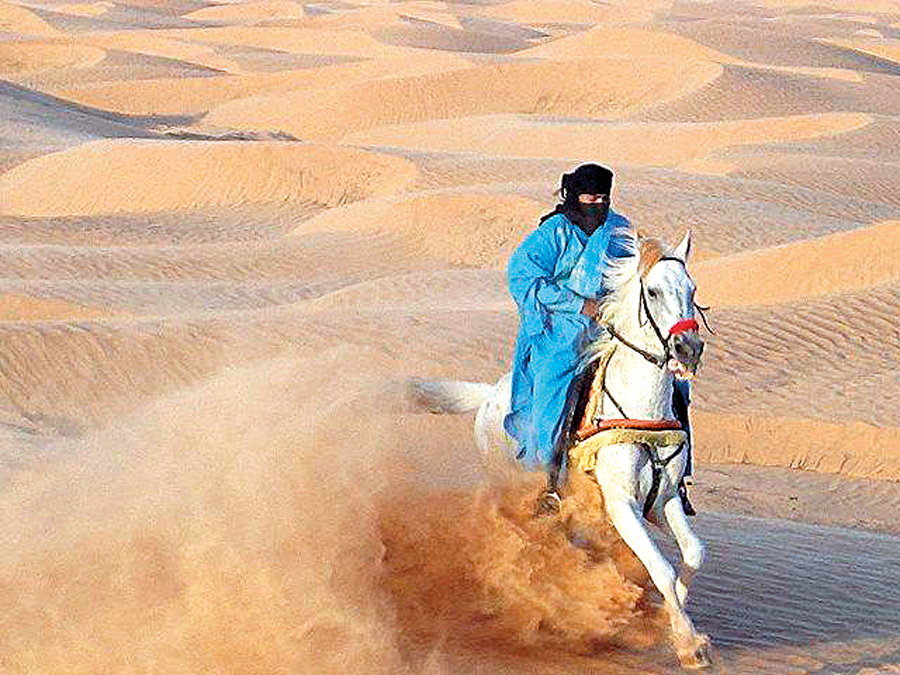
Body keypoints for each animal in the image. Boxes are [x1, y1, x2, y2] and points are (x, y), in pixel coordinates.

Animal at [412, 230, 712, 668]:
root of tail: (488, 396)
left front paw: (670, 623)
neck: (642, 407)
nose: (688, 348)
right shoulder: (621, 504)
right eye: (653, 291)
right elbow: (662, 568)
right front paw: (689, 644)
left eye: (691, 290)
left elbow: (692, 554)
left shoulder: (664, 499)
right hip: (511, 491)